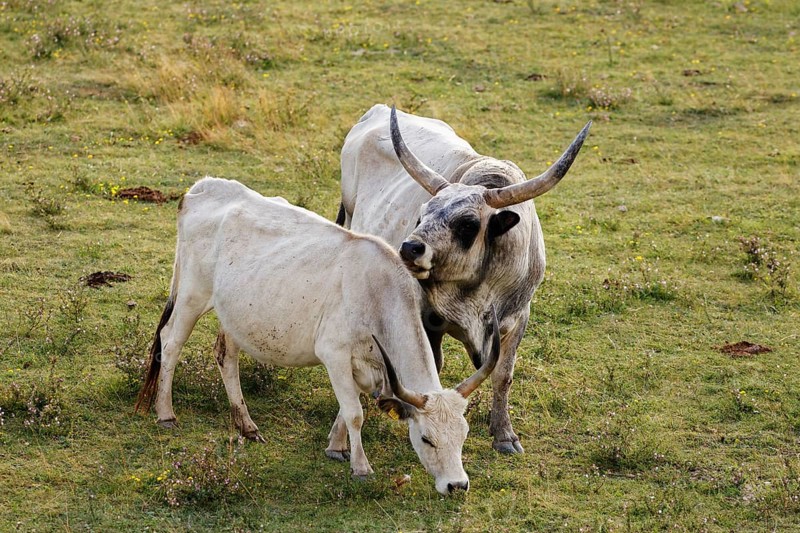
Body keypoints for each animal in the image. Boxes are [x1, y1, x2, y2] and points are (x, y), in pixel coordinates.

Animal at [134, 177, 501, 495]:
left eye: (464, 435)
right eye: (426, 439)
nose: (457, 485)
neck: (377, 292)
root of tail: (203, 187)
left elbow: (348, 407)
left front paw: (336, 447)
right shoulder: (334, 354)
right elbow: (354, 412)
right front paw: (360, 467)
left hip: (233, 312)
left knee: (226, 355)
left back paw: (246, 425)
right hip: (192, 295)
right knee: (170, 342)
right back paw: (166, 413)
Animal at [338, 105, 590, 454]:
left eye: (468, 224)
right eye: (421, 215)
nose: (410, 248)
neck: (477, 292)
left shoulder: (518, 317)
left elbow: (503, 375)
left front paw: (505, 435)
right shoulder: (427, 318)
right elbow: (433, 366)